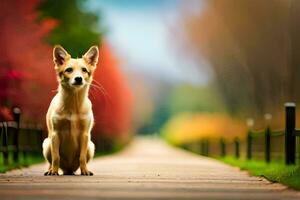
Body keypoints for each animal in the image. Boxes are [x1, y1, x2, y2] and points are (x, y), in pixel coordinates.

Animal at [42, 45, 99, 175]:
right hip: (47, 144)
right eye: (69, 70)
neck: (73, 104)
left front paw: (85, 171)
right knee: (51, 161)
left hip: (91, 146)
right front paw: (54, 171)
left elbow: (82, 157)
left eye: (84, 70)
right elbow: (56, 157)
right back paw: (50, 170)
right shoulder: (55, 133)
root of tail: (68, 169)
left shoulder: (85, 134)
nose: (78, 79)